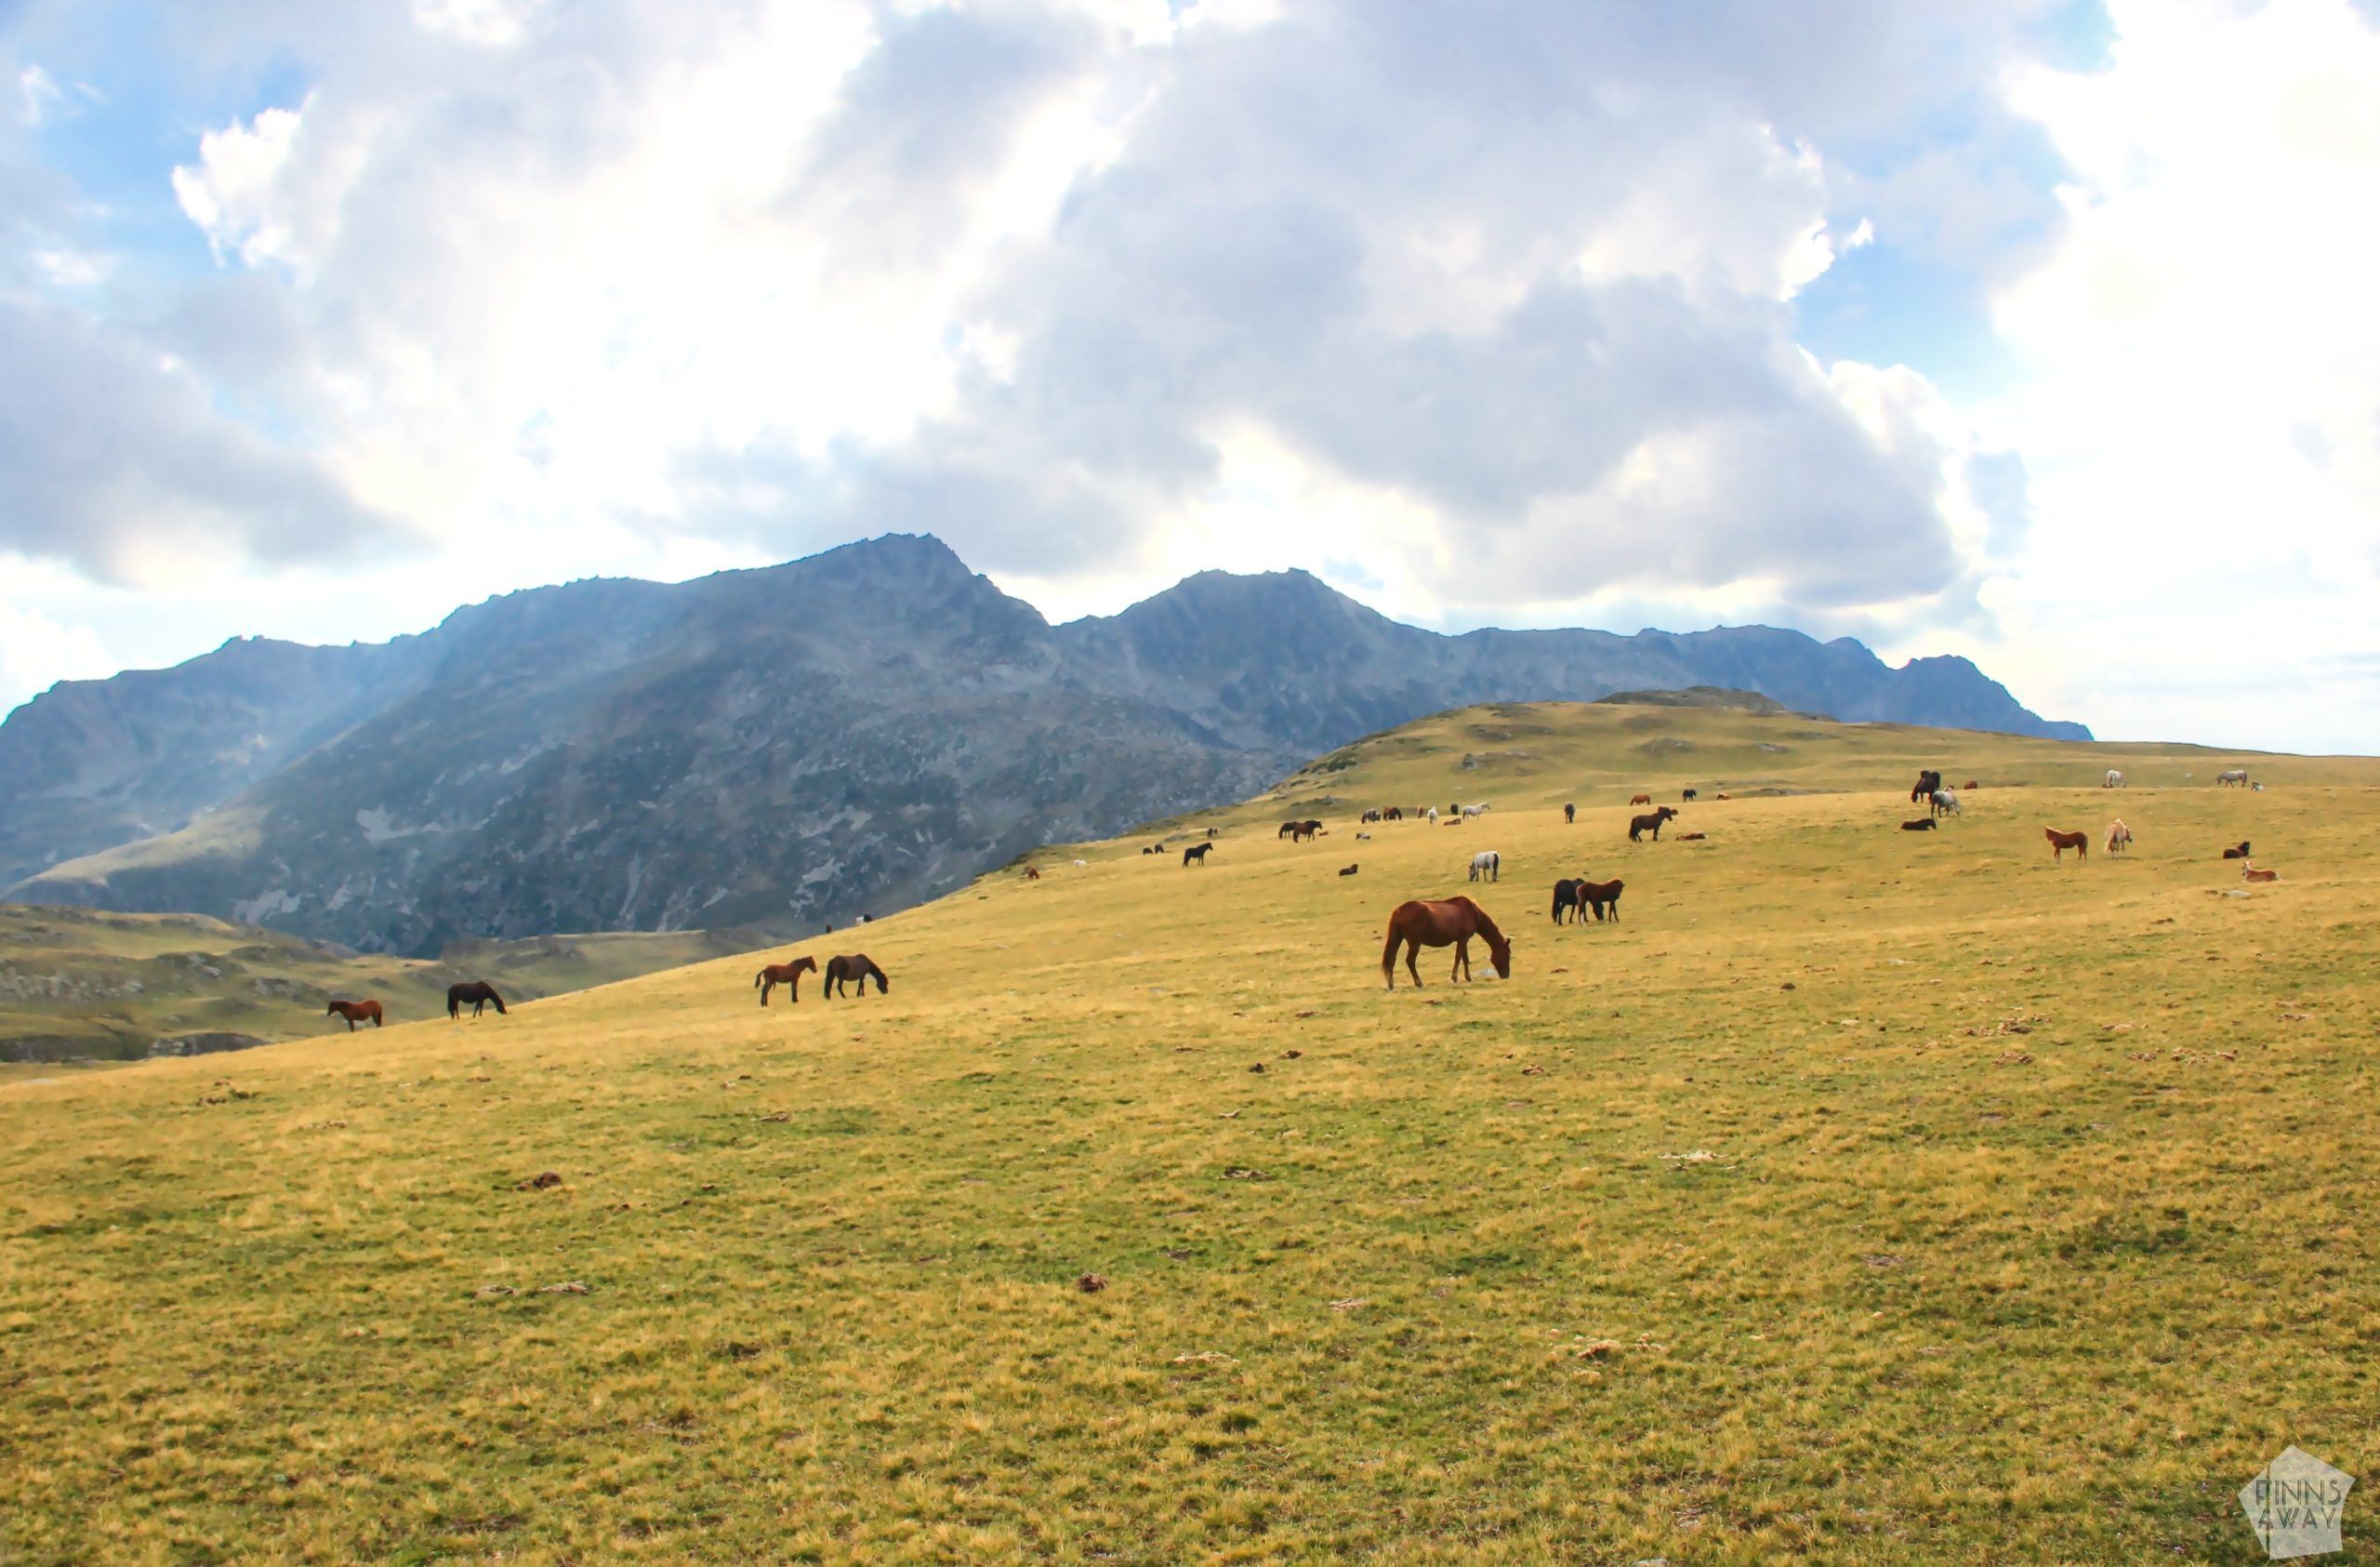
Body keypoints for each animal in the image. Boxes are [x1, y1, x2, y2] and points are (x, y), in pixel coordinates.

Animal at [1381, 896, 1512, 989]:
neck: (1473, 912)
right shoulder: (1463, 938)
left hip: (1398, 939)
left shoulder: (1463, 939)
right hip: (1414, 943)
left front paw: (1468, 978)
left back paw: (1391, 985)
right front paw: (1454, 978)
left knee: (1391, 960)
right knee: (1410, 961)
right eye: (1507, 955)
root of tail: (1398, 911)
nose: (1506, 975)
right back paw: (1419, 983)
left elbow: (1465, 959)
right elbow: (1458, 958)